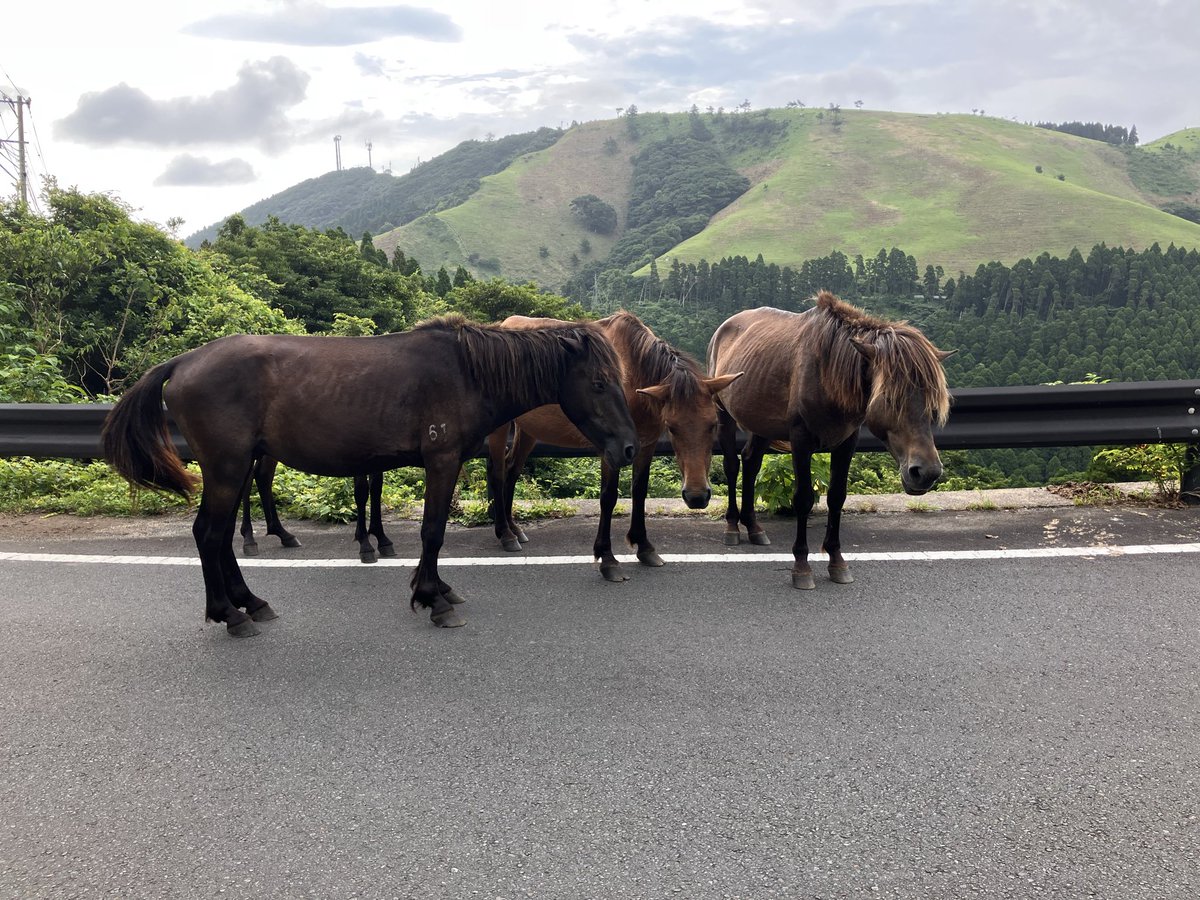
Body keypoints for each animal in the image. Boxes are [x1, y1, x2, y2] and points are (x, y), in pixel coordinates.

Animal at [101, 315, 638, 635]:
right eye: (598, 382)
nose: (629, 447)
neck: (466, 372)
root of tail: (183, 361)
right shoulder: (441, 460)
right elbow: (433, 532)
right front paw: (432, 598)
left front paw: (436, 588)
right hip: (228, 466)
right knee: (209, 536)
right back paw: (229, 614)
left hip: (234, 468)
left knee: (219, 536)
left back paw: (250, 602)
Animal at [486, 311, 742, 582]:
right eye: (672, 427)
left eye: (713, 424)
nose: (696, 496)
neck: (634, 378)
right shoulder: (611, 450)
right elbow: (608, 498)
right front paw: (607, 558)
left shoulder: (645, 445)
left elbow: (639, 491)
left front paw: (644, 546)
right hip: (499, 428)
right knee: (498, 472)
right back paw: (505, 534)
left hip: (528, 431)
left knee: (512, 470)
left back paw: (514, 528)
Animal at [706, 291, 952, 589]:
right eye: (889, 398)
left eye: (933, 401)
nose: (926, 473)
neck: (827, 373)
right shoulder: (800, 441)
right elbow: (802, 499)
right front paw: (801, 565)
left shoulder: (847, 441)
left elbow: (837, 498)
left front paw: (837, 561)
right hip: (724, 413)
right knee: (732, 465)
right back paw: (732, 526)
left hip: (761, 421)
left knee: (751, 462)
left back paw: (753, 527)